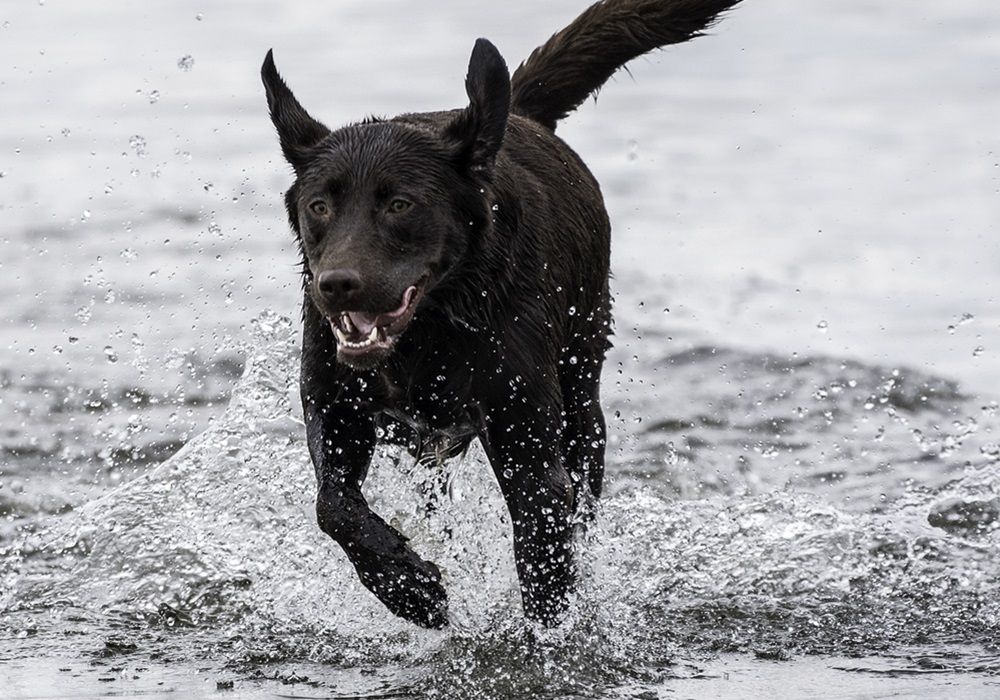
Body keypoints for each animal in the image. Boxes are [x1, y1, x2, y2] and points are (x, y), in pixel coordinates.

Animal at [262, 0, 740, 628]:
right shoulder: (335, 403)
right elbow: (333, 506)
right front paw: (408, 588)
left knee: (583, 489)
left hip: (581, 397)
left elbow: (544, 560)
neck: (431, 333)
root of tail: (521, 117)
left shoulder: (528, 445)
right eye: (319, 206)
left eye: (400, 204)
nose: (336, 286)